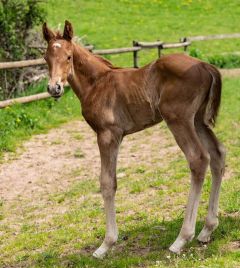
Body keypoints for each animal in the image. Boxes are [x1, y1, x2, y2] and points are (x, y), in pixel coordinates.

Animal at [42, 21, 225, 258]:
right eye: (46, 57)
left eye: (68, 56)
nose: (54, 88)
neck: (97, 83)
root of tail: (205, 66)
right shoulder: (115, 136)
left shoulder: (107, 134)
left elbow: (107, 183)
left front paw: (106, 244)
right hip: (198, 120)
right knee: (218, 154)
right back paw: (207, 230)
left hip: (179, 119)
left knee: (199, 158)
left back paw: (182, 239)